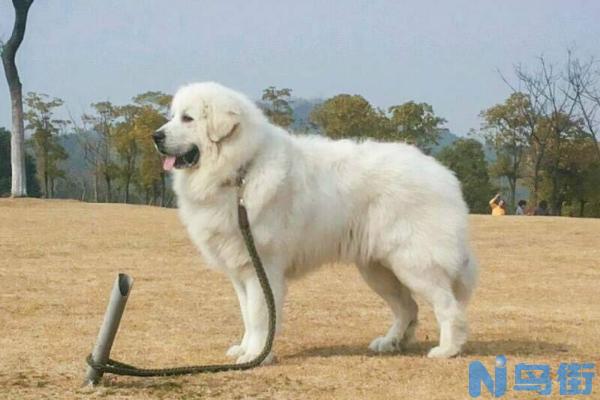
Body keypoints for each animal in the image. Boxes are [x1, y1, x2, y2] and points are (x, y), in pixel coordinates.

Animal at [154, 83, 478, 364]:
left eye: (187, 118)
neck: (241, 173)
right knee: (407, 307)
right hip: (378, 270)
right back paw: (391, 342)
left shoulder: (263, 269)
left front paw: (258, 355)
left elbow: (259, 316)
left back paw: (447, 349)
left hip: (415, 264)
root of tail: (442, 174)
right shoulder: (241, 269)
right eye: (173, 116)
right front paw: (246, 350)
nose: (156, 136)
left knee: (448, 307)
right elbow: (247, 314)